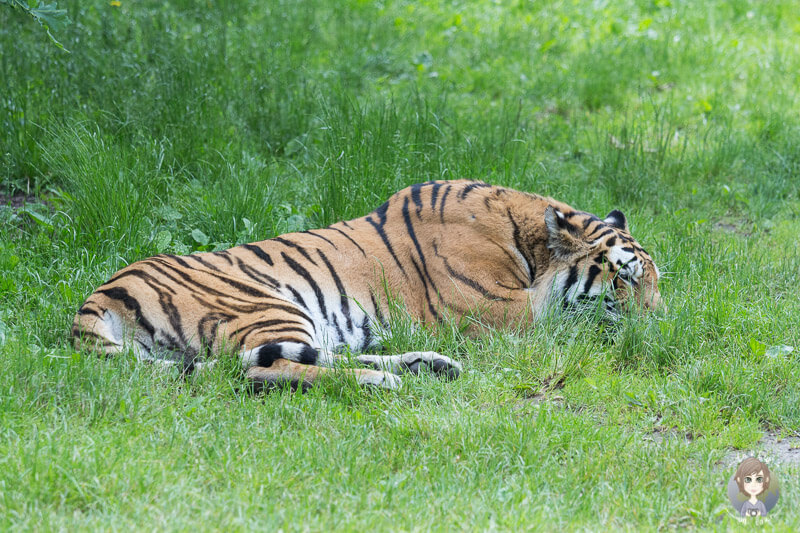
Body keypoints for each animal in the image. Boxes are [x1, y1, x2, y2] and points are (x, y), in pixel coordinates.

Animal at [73, 179, 664, 386]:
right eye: (624, 281)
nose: (661, 325)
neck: (525, 238)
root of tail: (101, 295)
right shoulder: (499, 313)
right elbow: (559, 319)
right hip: (267, 305)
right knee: (266, 369)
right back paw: (386, 381)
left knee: (314, 357)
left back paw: (428, 367)